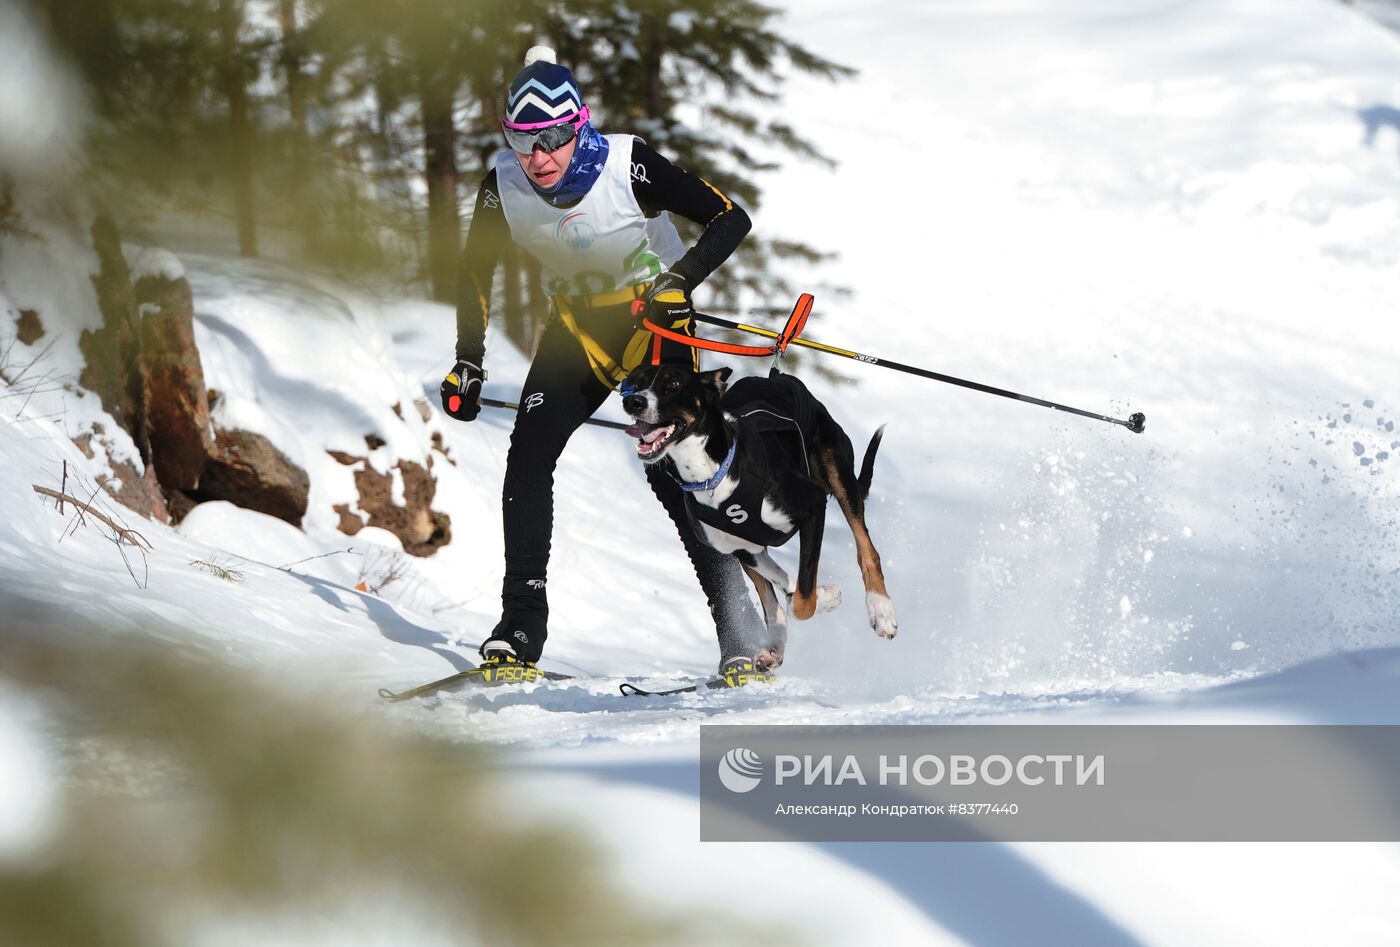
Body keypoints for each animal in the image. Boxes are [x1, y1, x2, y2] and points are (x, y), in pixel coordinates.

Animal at [624, 364, 896, 672]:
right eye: (637, 383)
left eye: (673, 384)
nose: (633, 402)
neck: (715, 475)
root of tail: (778, 378)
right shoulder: (741, 547)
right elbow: (783, 591)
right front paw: (823, 596)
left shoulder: (813, 508)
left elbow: (802, 602)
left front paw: (824, 597)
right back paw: (776, 644)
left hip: (838, 474)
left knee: (866, 548)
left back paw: (881, 610)